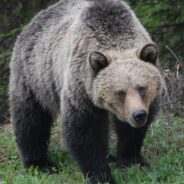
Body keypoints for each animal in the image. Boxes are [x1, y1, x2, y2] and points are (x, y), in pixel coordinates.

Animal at [9, 0, 163, 183]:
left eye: (142, 88)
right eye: (120, 92)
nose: (138, 114)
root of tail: (30, 23)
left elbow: (132, 132)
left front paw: (132, 160)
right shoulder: (81, 88)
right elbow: (85, 131)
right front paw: (101, 175)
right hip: (34, 77)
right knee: (31, 119)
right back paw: (40, 163)